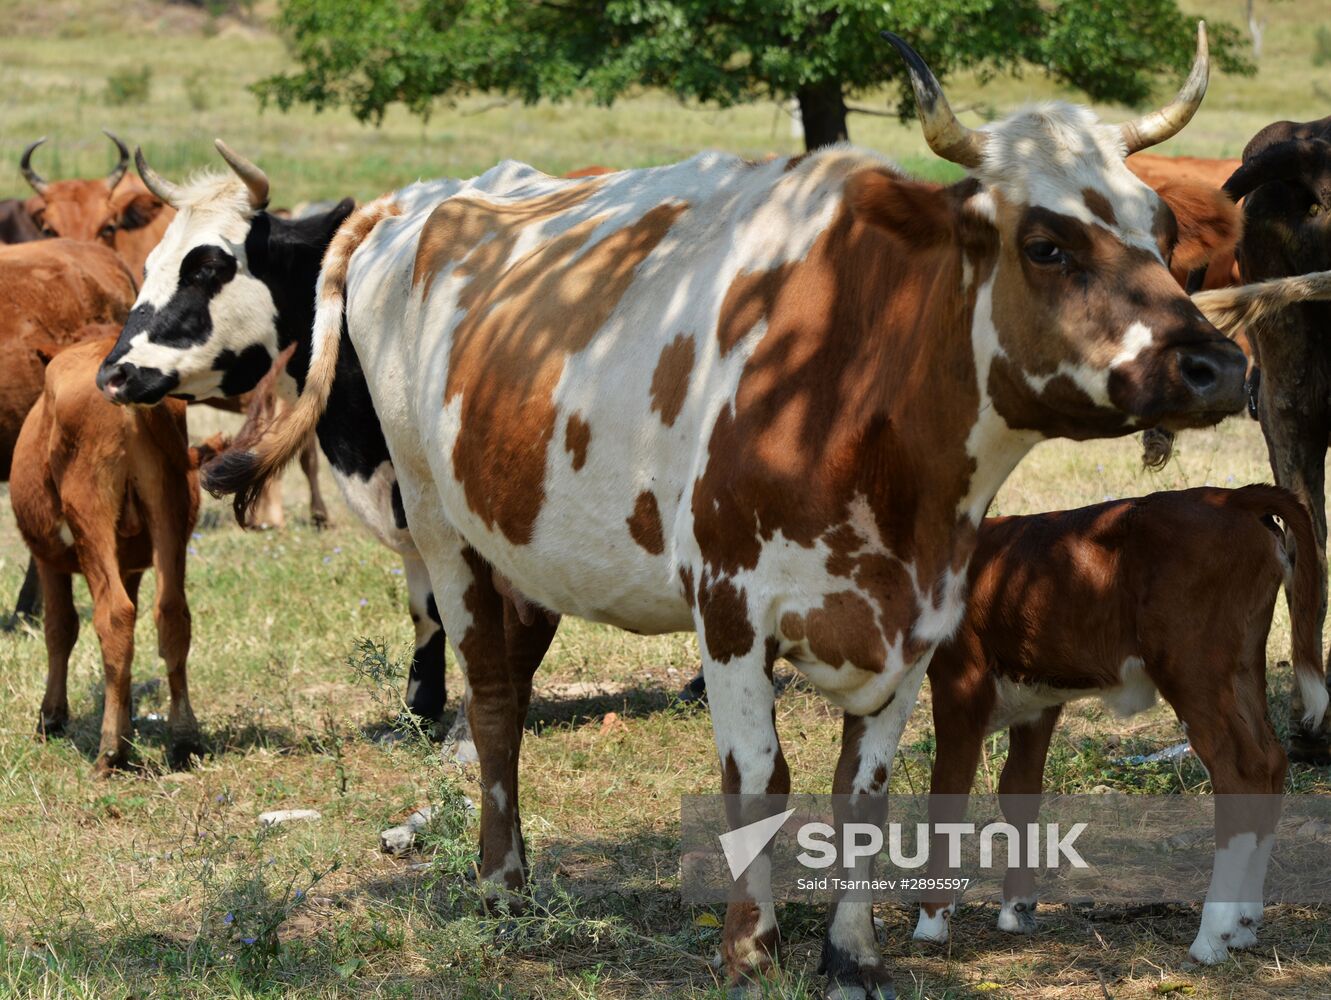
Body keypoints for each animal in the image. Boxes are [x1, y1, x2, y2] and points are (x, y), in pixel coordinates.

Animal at [11, 336, 211, 772]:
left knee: (114, 615)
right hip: (169, 511)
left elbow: (59, 628)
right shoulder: (132, 565)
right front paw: (126, 716)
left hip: (90, 513)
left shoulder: (48, 561)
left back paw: (110, 751)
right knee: (172, 613)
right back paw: (184, 738)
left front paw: (51, 717)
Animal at [98, 27, 1251, 996]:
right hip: (442, 527)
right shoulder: (733, 608)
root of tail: (419, 203)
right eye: (1045, 245)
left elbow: (862, 791)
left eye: (1155, 228)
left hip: (526, 547)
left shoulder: (916, 619)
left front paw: (851, 955)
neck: (862, 382)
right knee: (492, 701)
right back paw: (500, 880)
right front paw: (749, 946)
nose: (1214, 364)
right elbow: (756, 778)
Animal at [910, 490, 1325, 964]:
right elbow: (1019, 792)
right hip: (1242, 666)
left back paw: (1211, 937)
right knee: (1270, 762)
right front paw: (1016, 909)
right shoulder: (1038, 700)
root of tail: (1229, 496)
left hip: (1192, 668)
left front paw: (931, 922)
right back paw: (1244, 924)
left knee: (1239, 773)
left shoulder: (958, 681)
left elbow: (947, 796)